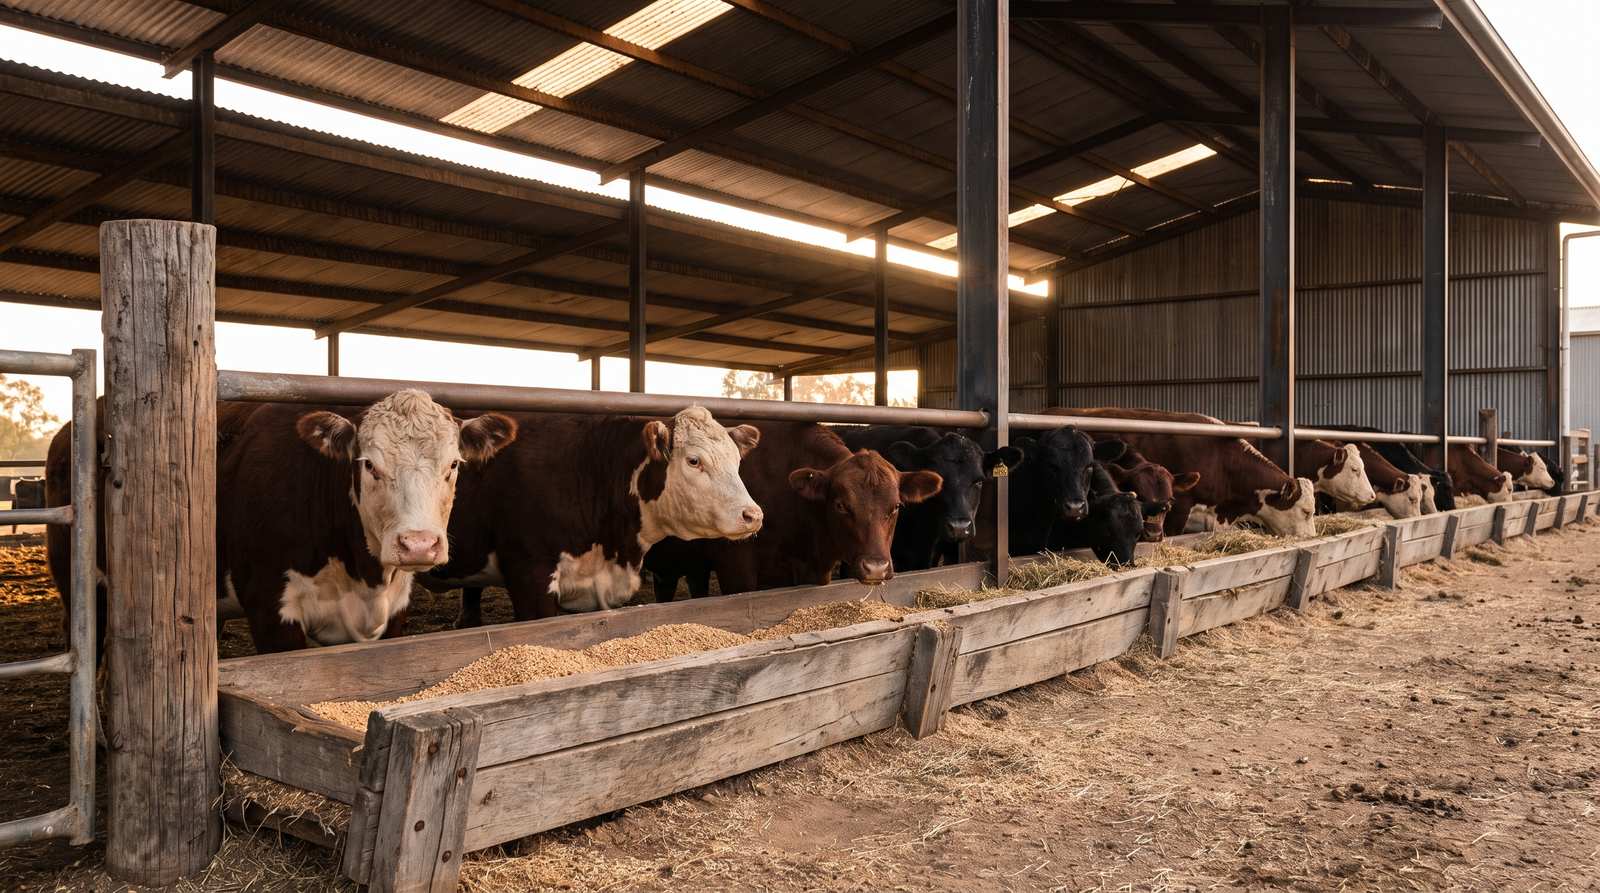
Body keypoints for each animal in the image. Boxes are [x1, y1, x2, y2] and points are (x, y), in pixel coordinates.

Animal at [47, 389, 518, 653]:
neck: (361, 575)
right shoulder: (271, 612)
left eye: (453, 464)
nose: (418, 544)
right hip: (81, 581)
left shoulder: (396, 612)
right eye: (368, 464)